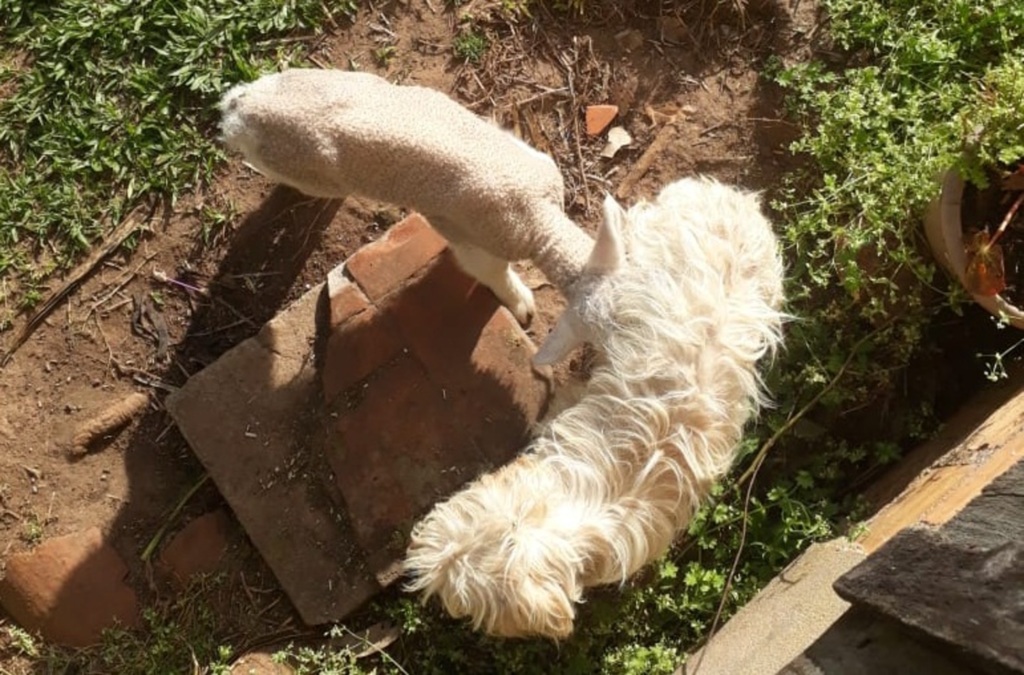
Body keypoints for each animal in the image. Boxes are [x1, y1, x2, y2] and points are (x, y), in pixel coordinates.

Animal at [219, 67, 598, 325]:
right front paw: (522, 307)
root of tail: (241, 108)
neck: (541, 217)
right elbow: (492, 274)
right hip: (296, 166)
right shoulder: (477, 244)